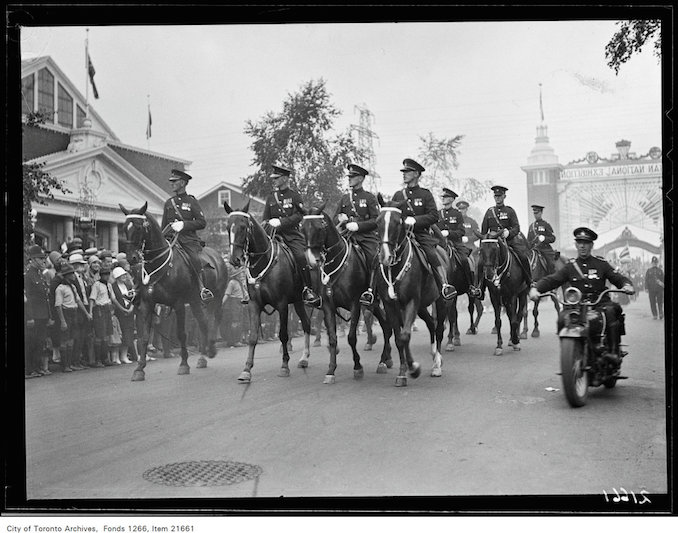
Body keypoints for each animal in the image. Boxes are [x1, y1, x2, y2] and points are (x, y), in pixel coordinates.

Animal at [119, 202, 228, 380]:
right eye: (124, 227)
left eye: (139, 227)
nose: (131, 258)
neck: (159, 265)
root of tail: (218, 257)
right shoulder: (147, 305)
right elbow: (144, 337)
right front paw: (139, 369)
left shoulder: (178, 304)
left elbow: (181, 334)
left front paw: (183, 364)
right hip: (195, 302)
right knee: (203, 323)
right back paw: (202, 357)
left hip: (216, 298)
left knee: (214, 319)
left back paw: (211, 349)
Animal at [224, 201, 312, 382]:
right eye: (228, 227)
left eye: (243, 227)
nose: (234, 259)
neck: (262, 261)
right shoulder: (254, 304)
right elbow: (252, 337)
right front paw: (246, 370)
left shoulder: (282, 304)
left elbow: (283, 334)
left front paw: (284, 366)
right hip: (298, 301)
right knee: (307, 324)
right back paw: (304, 358)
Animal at [302, 204, 396, 382]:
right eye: (302, 228)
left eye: (319, 228)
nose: (311, 260)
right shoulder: (328, 306)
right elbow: (332, 339)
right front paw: (331, 371)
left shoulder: (354, 305)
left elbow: (351, 337)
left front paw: (358, 367)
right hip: (373, 304)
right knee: (387, 326)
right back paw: (386, 360)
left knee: (388, 326)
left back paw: (382, 361)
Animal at [374, 196, 448, 386]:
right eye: (378, 221)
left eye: (397, 222)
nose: (384, 256)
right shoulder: (391, 305)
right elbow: (399, 338)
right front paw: (403, 372)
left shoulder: (411, 301)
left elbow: (405, 335)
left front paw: (414, 369)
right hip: (421, 307)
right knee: (431, 324)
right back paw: (433, 355)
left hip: (441, 301)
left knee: (439, 329)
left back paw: (437, 364)